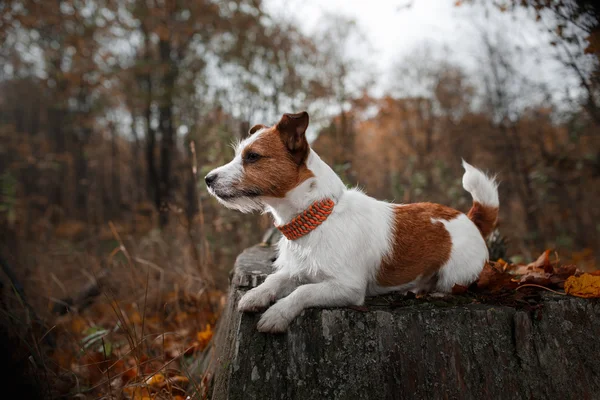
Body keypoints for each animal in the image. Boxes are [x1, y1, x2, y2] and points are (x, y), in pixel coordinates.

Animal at [205, 111, 496, 332]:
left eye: (252, 156)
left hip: (455, 274)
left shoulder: (347, 287)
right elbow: (275, 279)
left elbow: (303, 292)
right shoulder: (299, 269)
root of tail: (469, 219)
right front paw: (256, 295)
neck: (317, 217)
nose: (207, 179)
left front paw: (277, 314)